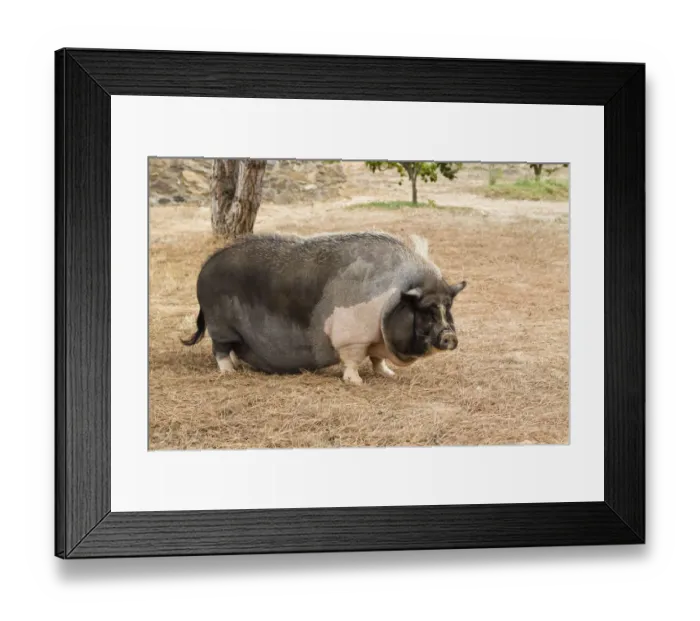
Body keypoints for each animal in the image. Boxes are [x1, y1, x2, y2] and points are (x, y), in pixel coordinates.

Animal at [181, 231, 467, 385]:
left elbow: (377, 358)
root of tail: (204, 268)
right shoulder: (352, 338)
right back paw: (229, 372)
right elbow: (352, 360)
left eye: (448, 305)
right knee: (219, 349)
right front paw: (357, 383)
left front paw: (389, 375)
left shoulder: (377, 339)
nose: (450, 336)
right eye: (426, 309)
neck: (392, 298)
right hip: (220, 324)